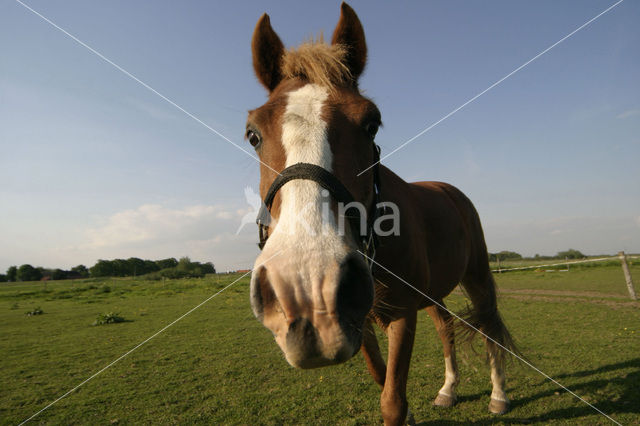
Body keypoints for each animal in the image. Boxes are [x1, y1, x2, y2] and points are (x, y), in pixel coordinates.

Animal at [248, 4, 516, 426]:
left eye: (371, 122)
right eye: (253, 134)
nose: (306, 287)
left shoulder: (402, 317)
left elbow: (393, 399)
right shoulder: (358, 323)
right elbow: (383, 380)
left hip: (477, 276)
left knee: (489, 328)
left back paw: (499, 395)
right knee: (447, 328)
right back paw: (448, 389)